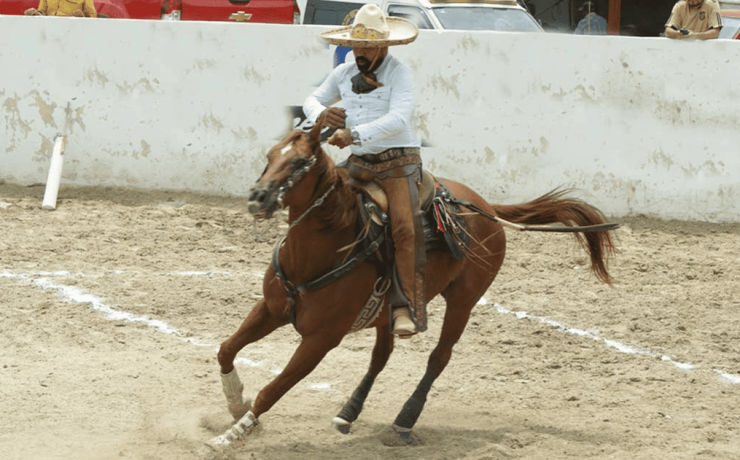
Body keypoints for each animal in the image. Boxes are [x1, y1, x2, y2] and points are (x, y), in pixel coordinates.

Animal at [205, 119, 617, 450]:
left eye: (299, 163)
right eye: (271, 154)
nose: (258, 197)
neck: (319, 252)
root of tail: (486, 208)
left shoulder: (320, 340)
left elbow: (274, 389)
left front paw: (230, 435)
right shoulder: (271, 308)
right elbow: (226, 349)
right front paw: (235, 405)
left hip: (464, 300)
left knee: (439, 357)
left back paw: (405, 419)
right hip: (389, 310)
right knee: (381, 356)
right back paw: (348, 412)